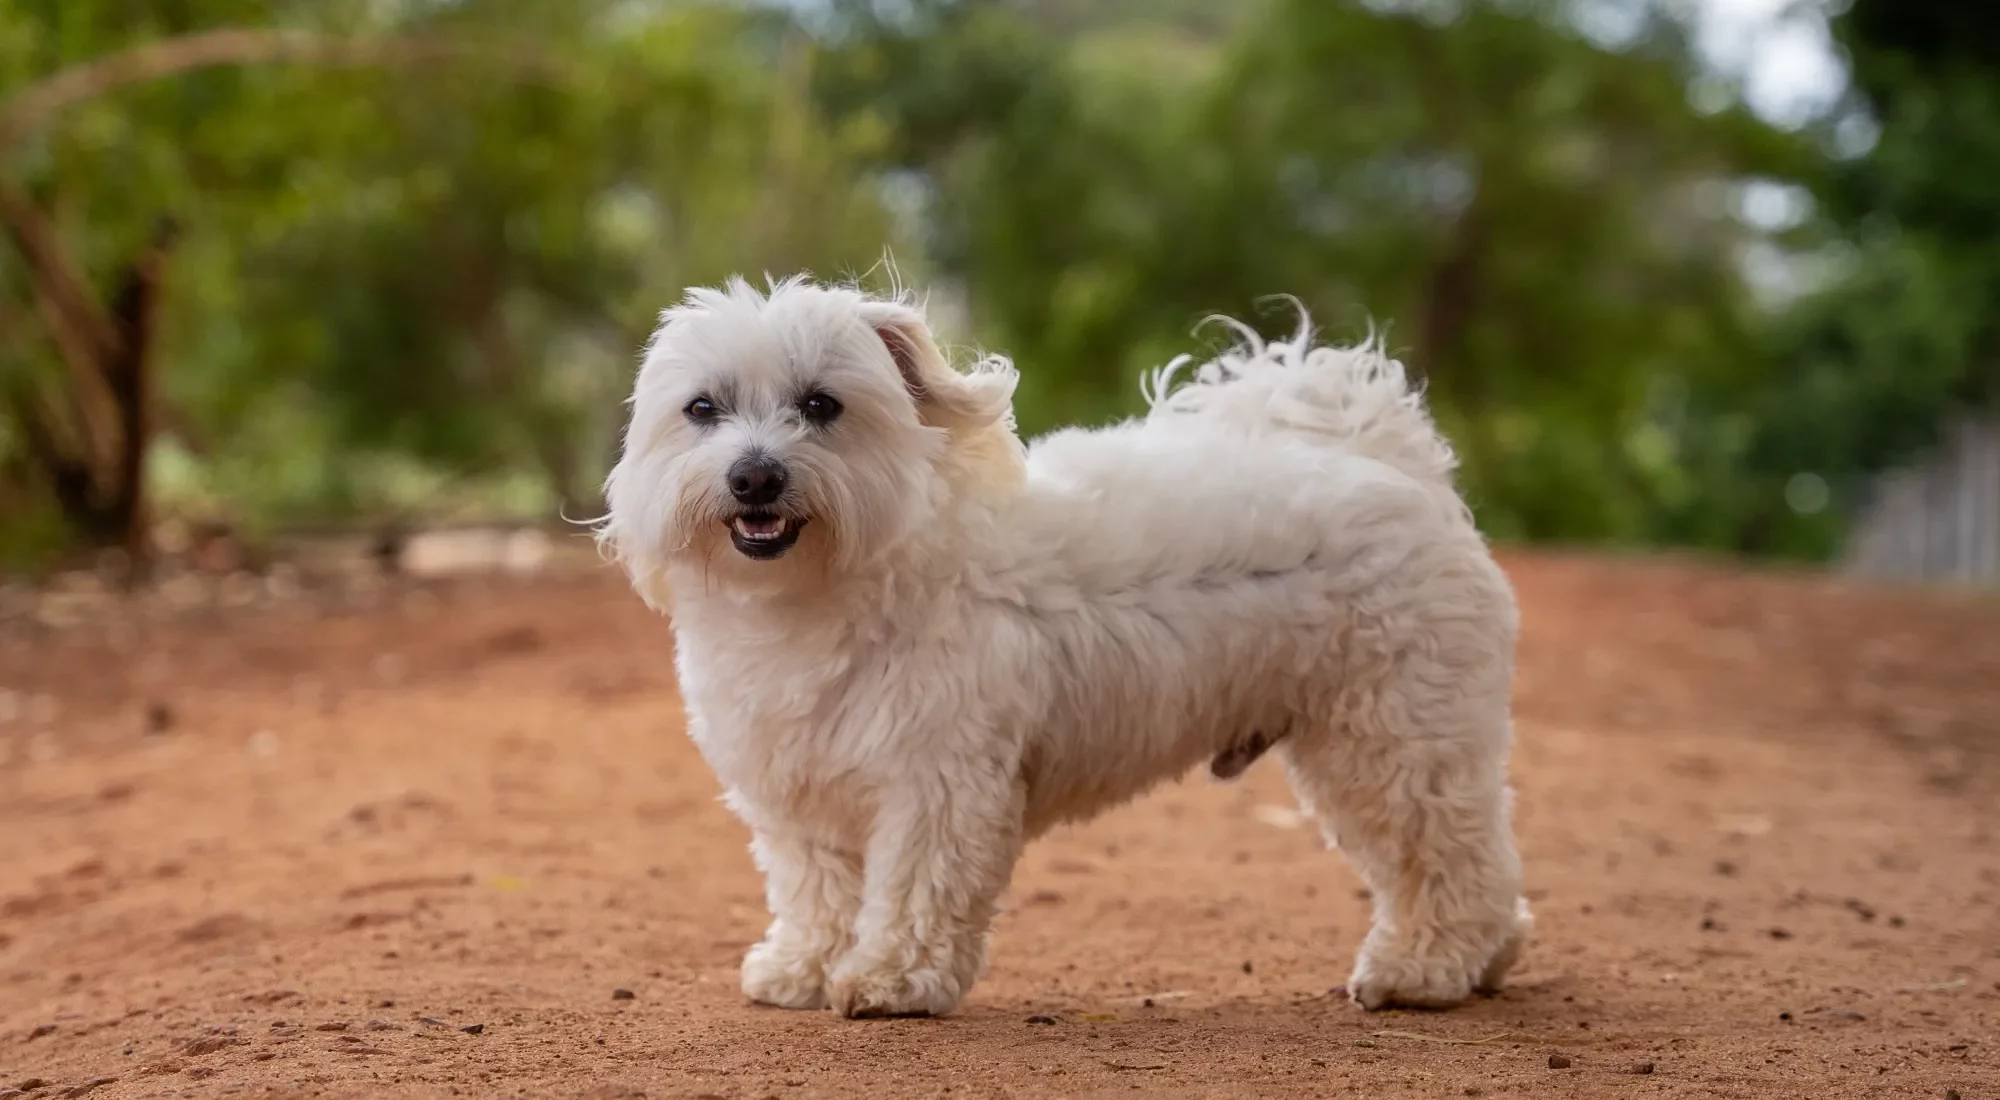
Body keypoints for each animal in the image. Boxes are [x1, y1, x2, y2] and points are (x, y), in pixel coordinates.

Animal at [600, 276, 1520, 1024]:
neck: (823, 592)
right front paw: (803, 970)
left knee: (1448, 860)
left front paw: (893, 981)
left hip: (1393, 743)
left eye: (822, 405)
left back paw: (1425, 970)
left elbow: (916, 889)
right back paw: (1487, 960)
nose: (755, 476)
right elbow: (816, 893)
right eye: (703, 409)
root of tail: (1396, 466)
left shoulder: (939, 783)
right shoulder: (797, 798)